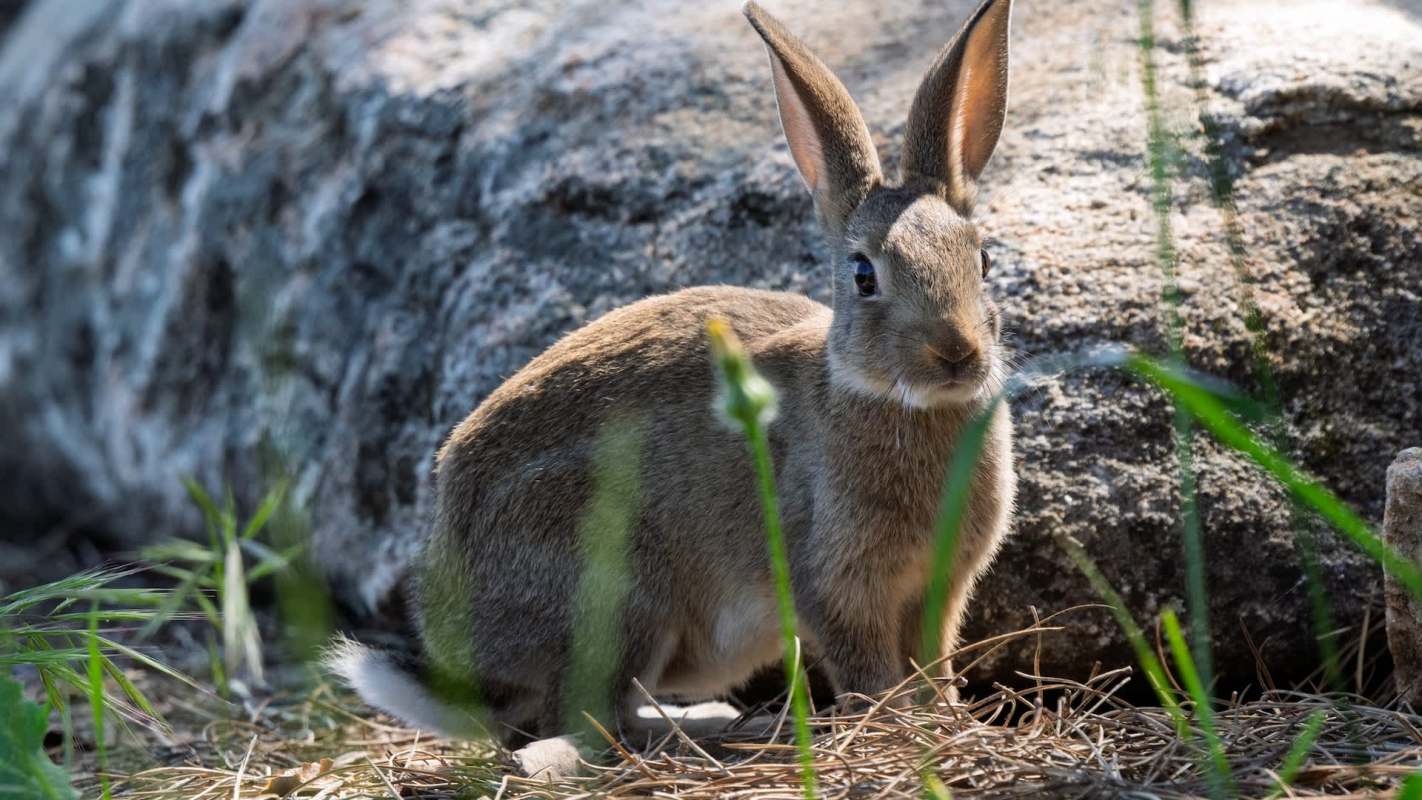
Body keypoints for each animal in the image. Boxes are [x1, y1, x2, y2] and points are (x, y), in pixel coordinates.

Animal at [328, 0, 1016, 779]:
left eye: (983, 260)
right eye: (865, 276)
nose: (956, 353)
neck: (889, 397)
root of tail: (466, 654)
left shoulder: (941, 588)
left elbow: (935, 663)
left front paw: (950, 720)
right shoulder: (836, 584)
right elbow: (868, 672)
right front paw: (898, 730)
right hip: (615, 589)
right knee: (581, 720)